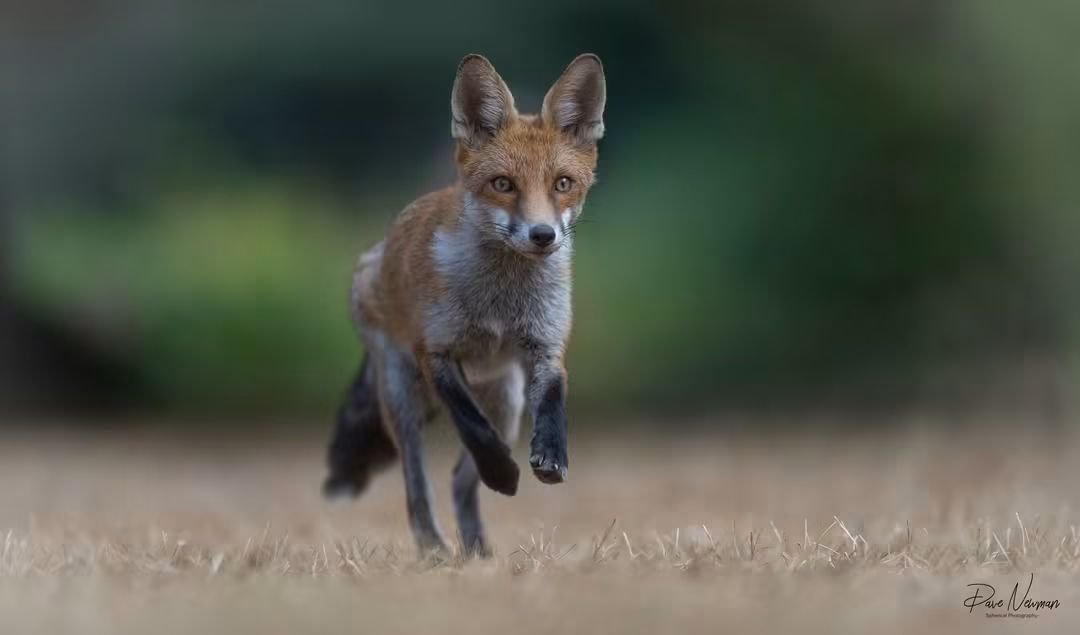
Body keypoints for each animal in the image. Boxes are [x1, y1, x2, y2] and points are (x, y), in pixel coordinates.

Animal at [322, 53, 606, 557]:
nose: (543, 235)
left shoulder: (545, 345)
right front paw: (504, 473)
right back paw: (435, 550)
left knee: (458, 481)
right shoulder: (435, 351)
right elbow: (471, 426)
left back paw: (477, 554)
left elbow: (555, 400)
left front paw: (551, 456)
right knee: (418, 488)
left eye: (563, 183)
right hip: (402, 401)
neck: (499, 304)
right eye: (503, 184)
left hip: (508, 398)